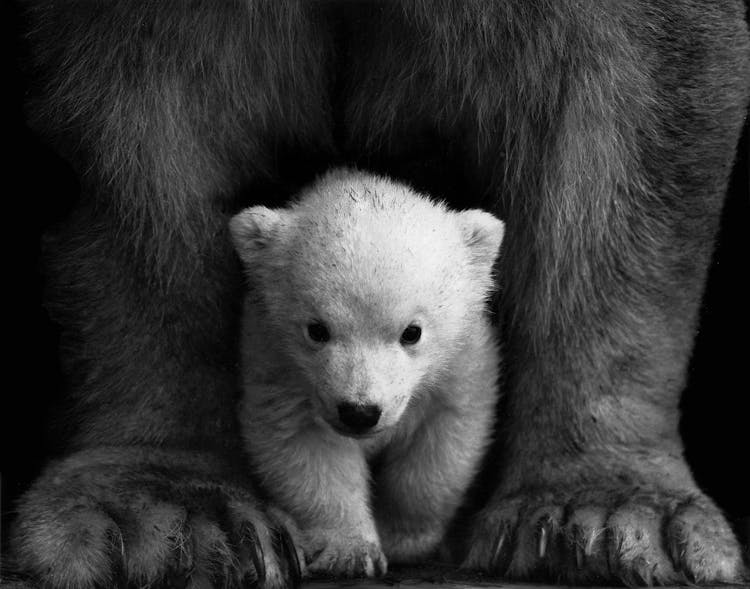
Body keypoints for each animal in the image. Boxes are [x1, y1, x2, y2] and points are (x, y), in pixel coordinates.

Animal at [11, 1, 750, 588]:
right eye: (315, 329)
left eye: (413, 332)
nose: (361, 411)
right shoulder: (282, 370)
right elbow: (124, 126)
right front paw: (165, 518)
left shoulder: (462, 368)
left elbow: (631, 105)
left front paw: (608, 514)